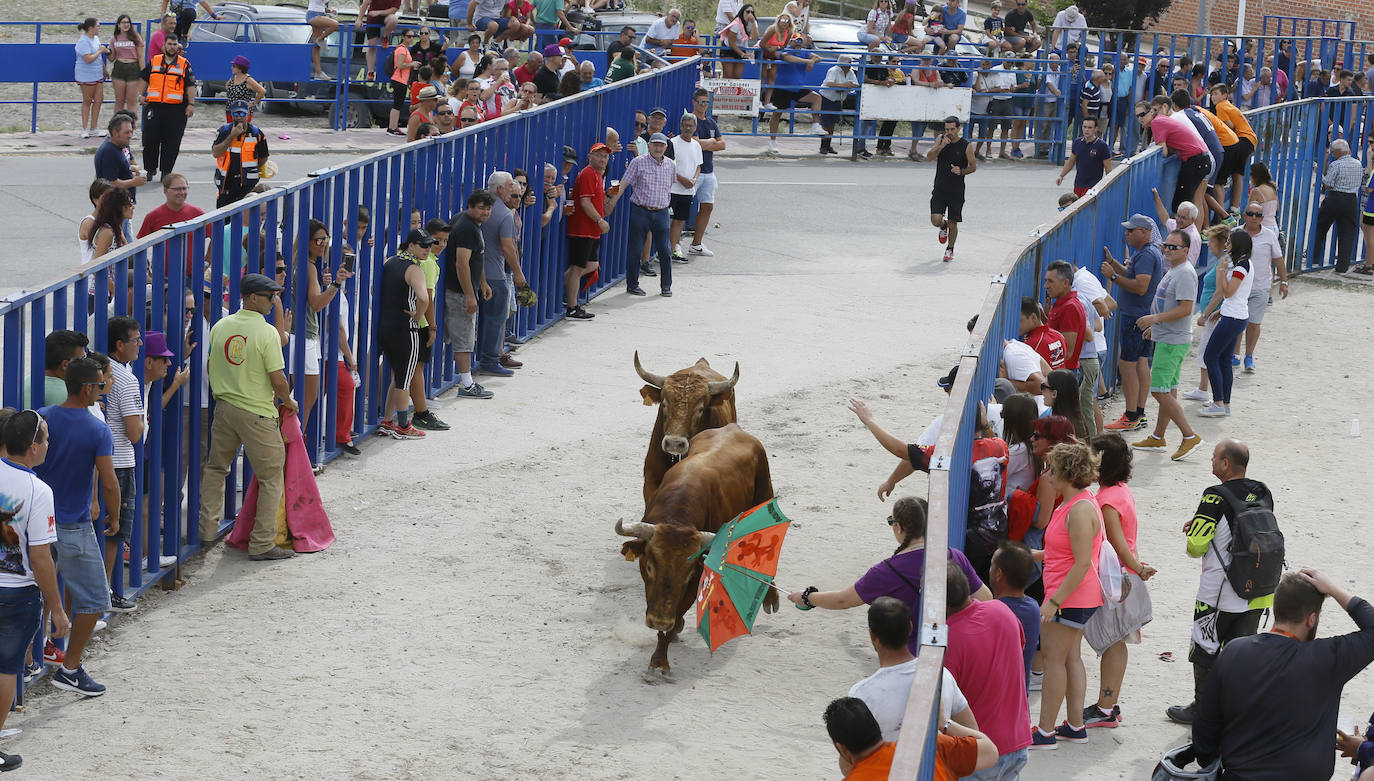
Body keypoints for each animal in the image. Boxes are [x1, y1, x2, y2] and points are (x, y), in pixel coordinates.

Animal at [612, 420, 774, 676]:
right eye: (649, 567)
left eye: (687, 575)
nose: (658, 621)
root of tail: (733, 427)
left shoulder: (697, 577)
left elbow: (679, 611)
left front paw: (659, 660)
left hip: (765, 492)